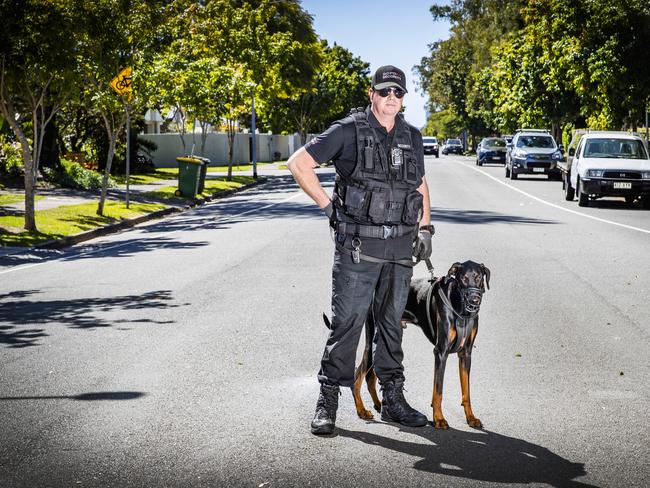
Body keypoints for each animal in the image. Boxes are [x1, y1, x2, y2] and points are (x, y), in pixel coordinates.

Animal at [352, 262, 488, 428]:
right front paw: (439, 419)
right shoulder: (441, 352)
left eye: (479, 277)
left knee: (370, 376)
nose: (474, 300)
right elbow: (438, 391)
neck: (461, 311)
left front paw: (471, 418)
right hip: (372, 339)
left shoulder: (466, 353)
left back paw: (379, 405)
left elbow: (466, 391)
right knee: (357, 377)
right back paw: (361, 410)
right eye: (463, 278)